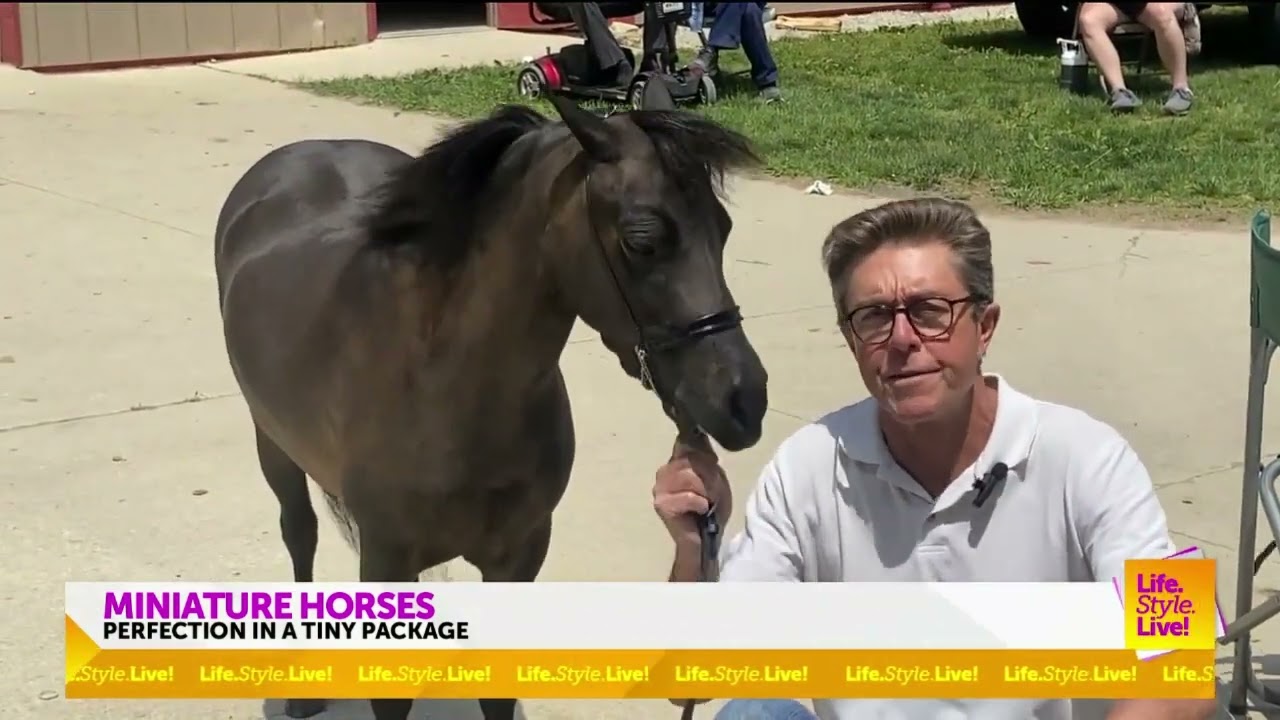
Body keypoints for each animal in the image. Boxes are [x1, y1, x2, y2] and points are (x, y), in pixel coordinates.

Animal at [212, 81, 769, 720]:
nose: (745, 399)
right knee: (299, 532)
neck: (447, 389)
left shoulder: (519, 555)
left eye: (723, 229)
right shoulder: (386, 561)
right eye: (642, 240)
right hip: (274, 445)